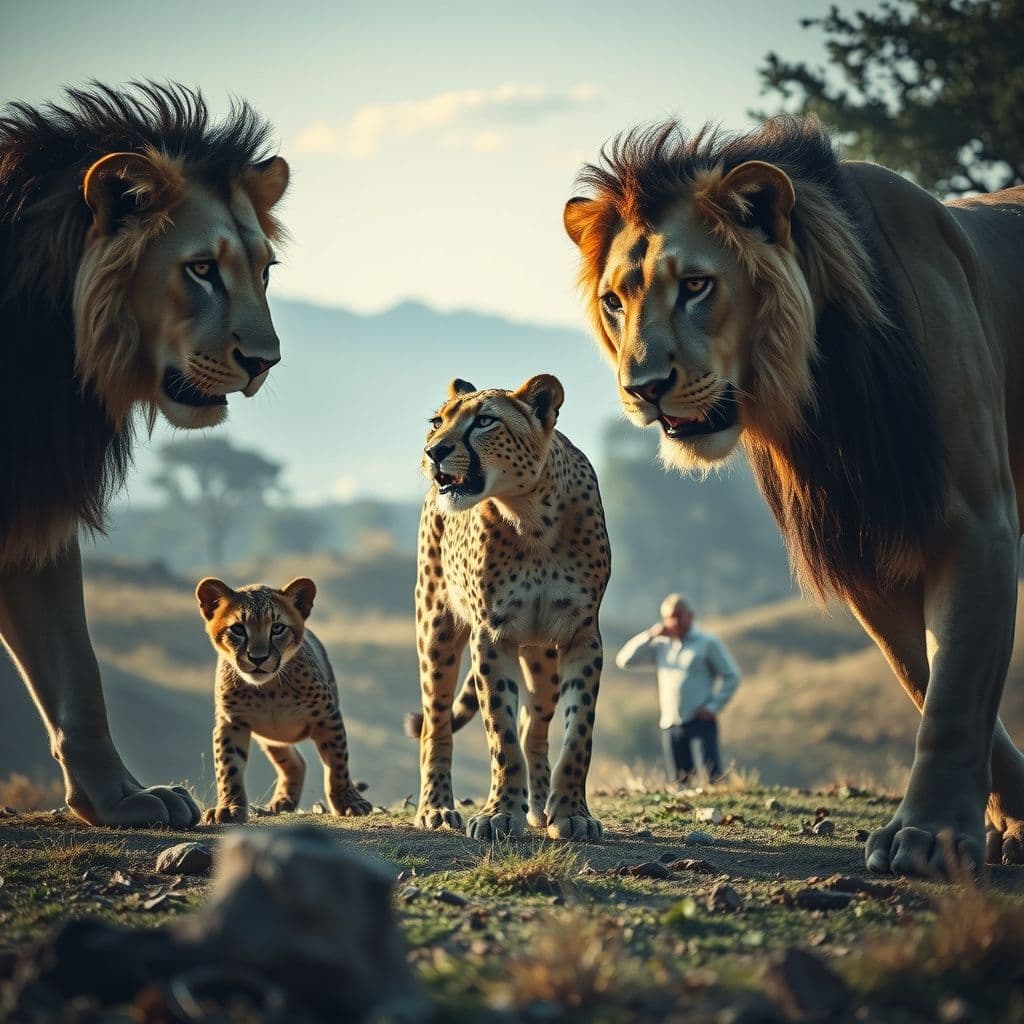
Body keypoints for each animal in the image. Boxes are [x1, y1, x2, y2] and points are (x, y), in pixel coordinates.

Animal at [0, 83, 289, 827]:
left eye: (265, 270)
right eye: (201, 269)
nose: (265, 362)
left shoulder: (38, 483)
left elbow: (75, 664)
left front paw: (119, 799)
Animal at [196, 576, 372, 823]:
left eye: (277, 628)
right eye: (238, 629)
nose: (258, 658)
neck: (268, 689)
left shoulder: (327, 716)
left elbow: (337, 763)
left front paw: (349, 802)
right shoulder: (231, 722)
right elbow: (228, 767)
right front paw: (229, 808)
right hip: (270, 737)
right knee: (295, 762)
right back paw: (282, 801)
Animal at [411, 374, 610, 841]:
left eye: (485, 421)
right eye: (436, 422)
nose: (433, 452)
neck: (530, 515)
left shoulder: (582, 636)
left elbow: (578, 733)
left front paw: (572, 812)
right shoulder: (491, 635)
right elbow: (500, 734)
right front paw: (500, 813)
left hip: (541, 655)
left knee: (534, 724)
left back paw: (539, 806)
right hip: (436, 631)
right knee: (436, 723)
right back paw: (436, 808)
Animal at [563, 116, 1024, 876]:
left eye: (696, 285)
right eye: (614, 301)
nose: (643, 389)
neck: (823, 395)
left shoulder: (977, 518)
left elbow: (956, 689)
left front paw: (929, 835)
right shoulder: (865, 545)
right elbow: (924, 676)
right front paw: (1007, 822)